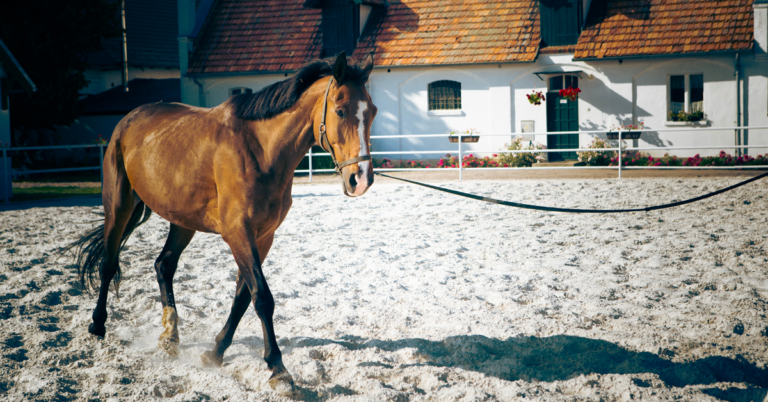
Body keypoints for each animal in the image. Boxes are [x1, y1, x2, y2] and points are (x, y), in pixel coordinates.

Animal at [69, 52, 377, 391]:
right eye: (340, 110)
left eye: (372, 112)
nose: (361, 179)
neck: (260, 150)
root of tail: (128, 120)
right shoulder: (238, 233)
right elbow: (262, 297)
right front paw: (278, 369)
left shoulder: (262, 236)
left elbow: (243, 297)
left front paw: (215, 353)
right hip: (119, 207)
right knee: (109, 263)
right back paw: (98, 325)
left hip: (182, 220)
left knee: (164, 265)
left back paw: (170, 336)